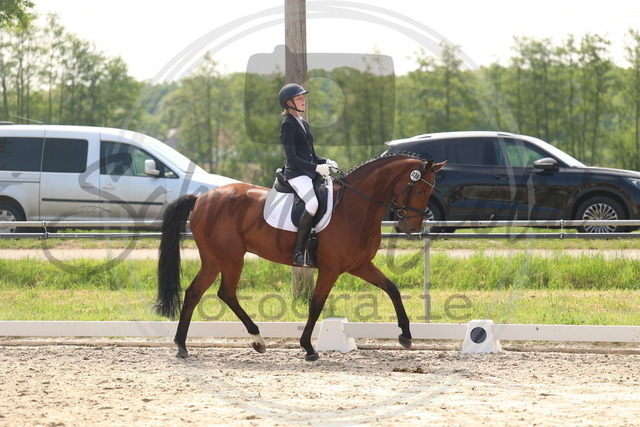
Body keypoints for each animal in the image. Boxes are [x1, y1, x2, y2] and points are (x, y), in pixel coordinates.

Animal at [155, 153, 446, 361]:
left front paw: (406, 334)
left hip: (214, 260)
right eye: (420, 190)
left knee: (194, 293)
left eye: (429, 191)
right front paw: (308, 348)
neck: (355, 207)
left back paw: (182, 345)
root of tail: (201, 198)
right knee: (225, 293)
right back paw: (257, 339)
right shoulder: (331, 268)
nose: (411, 228)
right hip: (231, 260)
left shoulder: (359, 265)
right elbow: (316, 304)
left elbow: (392, 288)